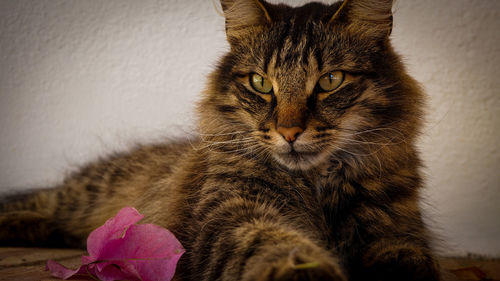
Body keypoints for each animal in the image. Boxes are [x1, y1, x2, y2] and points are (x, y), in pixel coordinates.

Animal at [0, 0, 440, 278]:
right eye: (261, 83)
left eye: (331, 80)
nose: (289, 132)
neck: (317, 186)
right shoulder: (230, 213)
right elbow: (271, 243)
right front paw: (303, 271)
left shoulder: (399, 230)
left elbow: (408, 259)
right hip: (85, 194)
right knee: (39, 199)